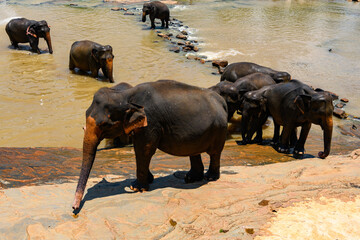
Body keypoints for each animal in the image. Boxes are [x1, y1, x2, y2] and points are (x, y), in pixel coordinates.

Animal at [71, 79, 226, 209]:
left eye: (104, 124)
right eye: (85, 113)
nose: (74, 208)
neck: (126, 95)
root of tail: (221, 100)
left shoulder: (151, 121)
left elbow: (144, 149)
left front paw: (137, 187)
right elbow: (140, 149)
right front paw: (147, 180)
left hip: (218, 129)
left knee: (214, 153)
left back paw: (210, 177)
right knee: (194, 152)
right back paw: (191, 178)